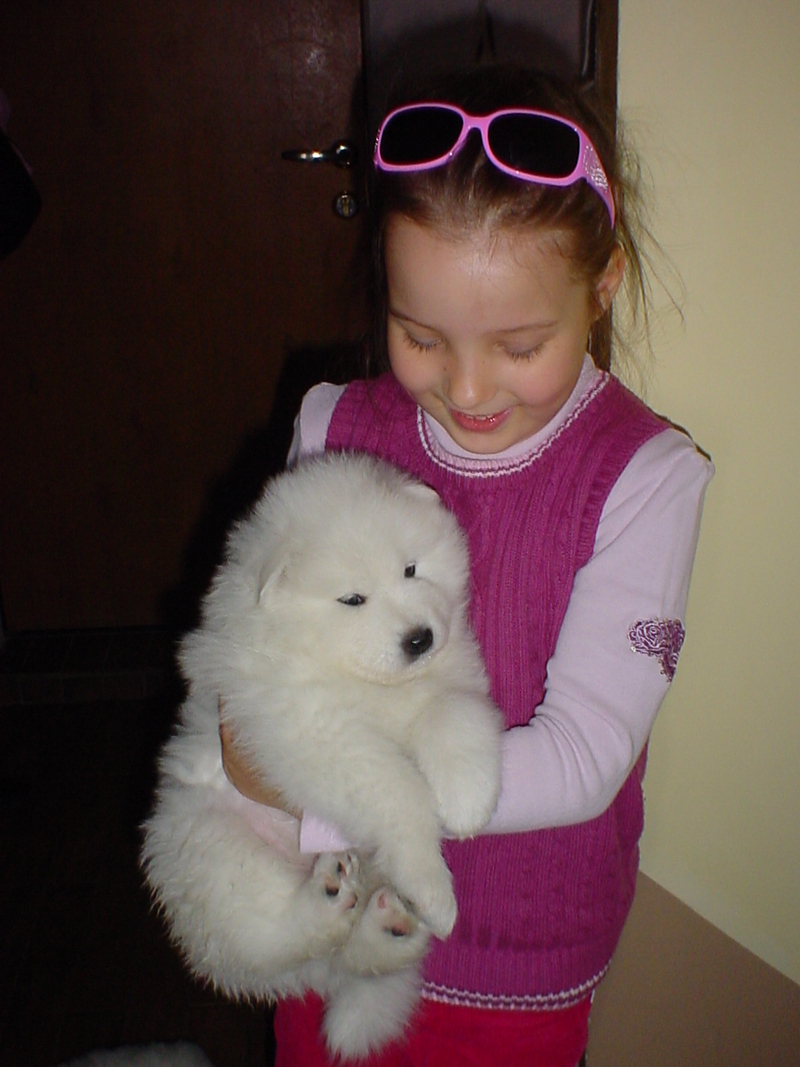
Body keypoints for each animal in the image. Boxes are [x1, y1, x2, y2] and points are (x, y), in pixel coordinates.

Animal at [141, 452, 502, 1058]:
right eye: (353, 599)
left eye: (412, 570)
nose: (419, 639)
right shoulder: (319, 736)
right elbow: (400, 794)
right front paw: (433, 884)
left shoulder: (445, 681)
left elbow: (455, 717)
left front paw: (468, 799)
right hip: (208, 848)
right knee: (270, 933)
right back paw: (327, 898)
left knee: (347, 961)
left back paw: (390, 925)